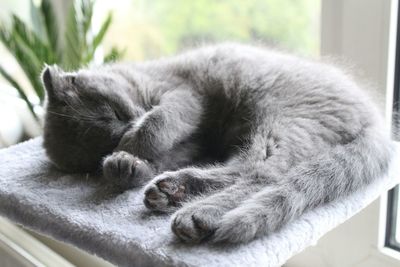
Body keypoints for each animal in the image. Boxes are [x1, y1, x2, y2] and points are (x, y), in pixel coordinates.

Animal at [42, 43, 392, 245]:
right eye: (108, 135)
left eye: (115, 112)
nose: (127, 127)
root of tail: (377, 122)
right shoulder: (194, 142)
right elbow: (163, 151)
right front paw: (122, 165)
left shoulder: (185, 95)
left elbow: (160, 122)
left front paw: (134, 145)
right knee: (242, 171)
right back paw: (173, 192)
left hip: (281, 122)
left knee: (262, 175)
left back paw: (198, 213)